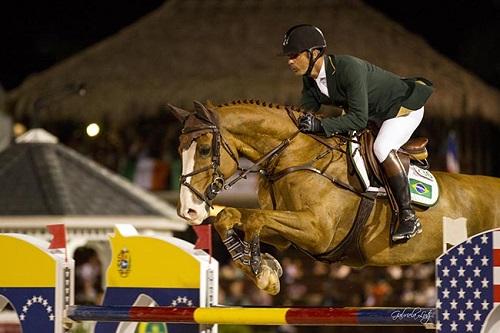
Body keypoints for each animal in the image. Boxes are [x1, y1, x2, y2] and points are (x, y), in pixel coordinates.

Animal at [167, 100, 500, 294]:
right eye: (179, 149)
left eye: (205, 150)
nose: (189, 211)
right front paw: (263, 269)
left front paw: (261, 270)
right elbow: (232, 217)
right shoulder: (287, 235)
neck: (296, 155)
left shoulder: (318, 232)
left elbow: (254, 219)